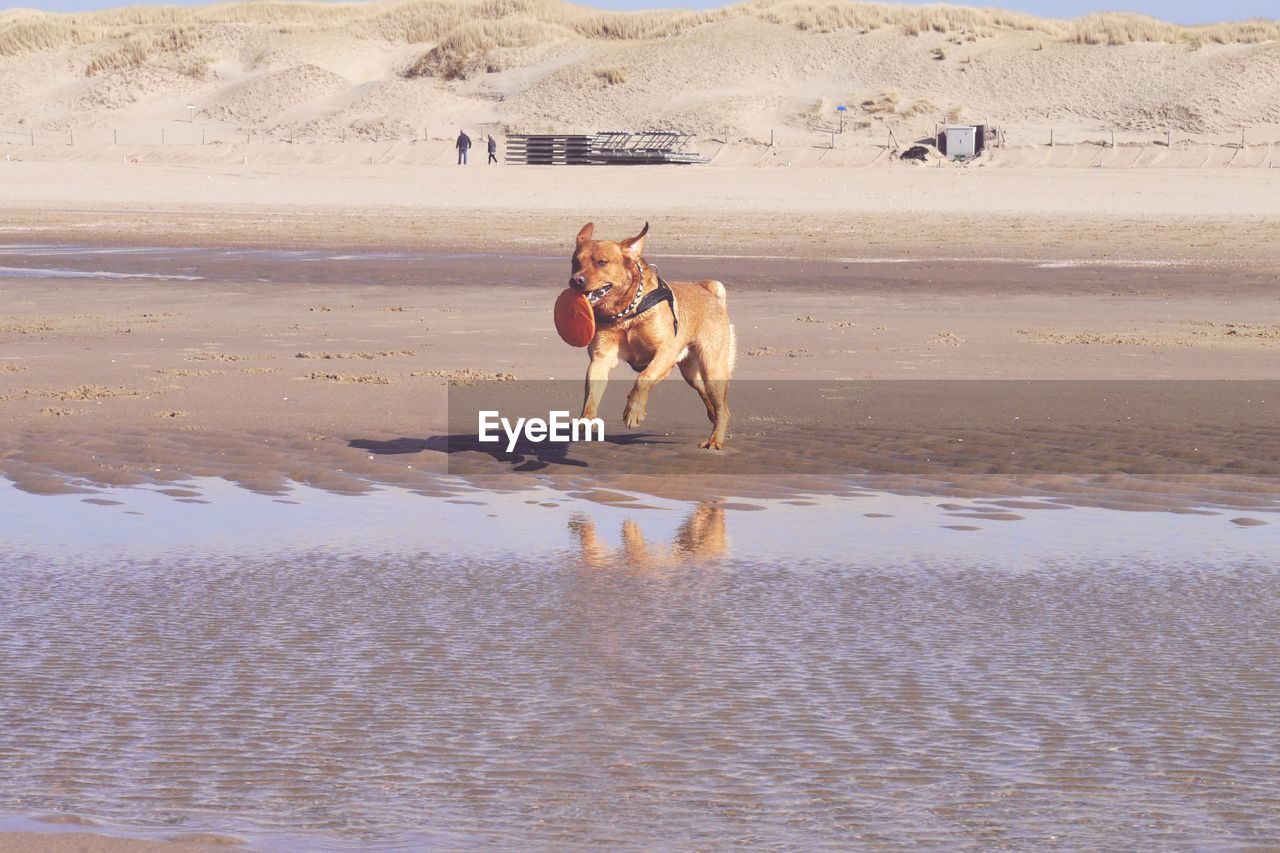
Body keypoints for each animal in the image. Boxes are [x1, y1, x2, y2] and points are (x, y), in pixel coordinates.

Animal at [573, 220, 742, 450]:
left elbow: (644, 377)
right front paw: (586, 421)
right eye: (575, 262)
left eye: (602, 262)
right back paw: (712, 416)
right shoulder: (600, 359)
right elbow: (591, 394)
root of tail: (707, 291)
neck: (626, 313)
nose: (576, 280)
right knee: (709, 398)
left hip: (712, 367)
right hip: (691, 373)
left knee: (723, 408)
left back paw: (715, 440)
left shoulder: (665, 351)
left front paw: (633, 410)